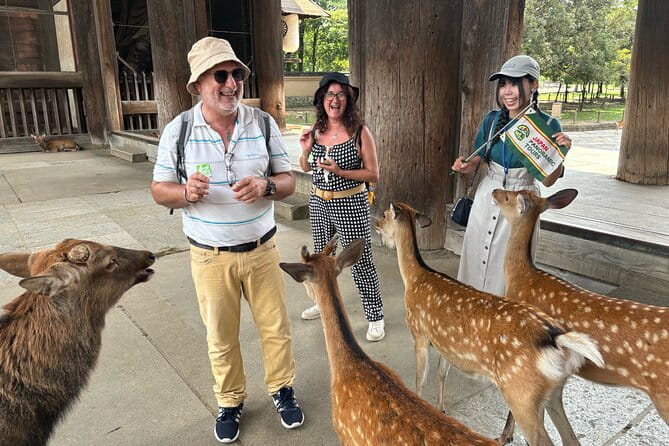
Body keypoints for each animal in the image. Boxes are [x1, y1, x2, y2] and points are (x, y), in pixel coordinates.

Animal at [374, 202, 605, 446]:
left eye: (385, 214)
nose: (376, 223)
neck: (413, 278)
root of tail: (556, 339)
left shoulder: (418, 333)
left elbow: (420, 380)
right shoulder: (444, 344)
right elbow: (442, 373)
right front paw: (441, 409)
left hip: (522, 394)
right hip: (553, 393)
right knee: (571, 438)